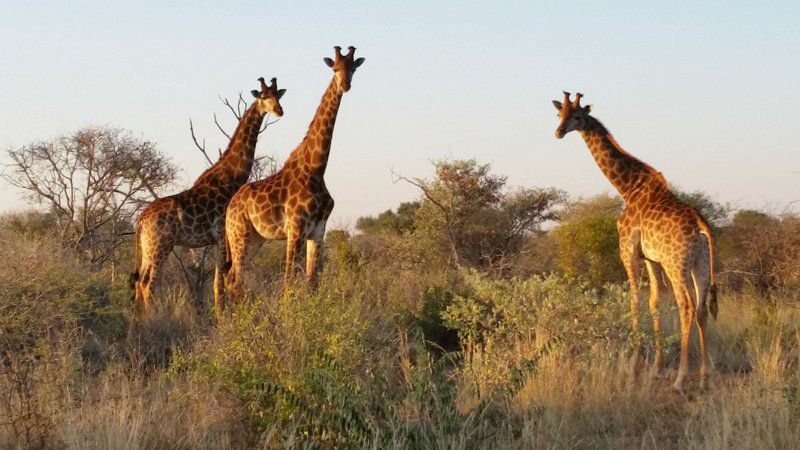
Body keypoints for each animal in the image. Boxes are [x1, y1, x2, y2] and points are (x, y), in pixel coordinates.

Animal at [134, 76, 288, 316]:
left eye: (277, 96)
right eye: (263, 97)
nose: (279, 111)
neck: (233, 175)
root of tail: (140, 220)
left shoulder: (218, 240)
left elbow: (218, 283)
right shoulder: (221, 236)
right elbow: (220, 283)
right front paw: (223, 318)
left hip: (148, 247)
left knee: (139, 282)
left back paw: (137, 323)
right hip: (160, 245)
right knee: (148, 283)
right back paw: (152, 321)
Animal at [222, 45, 366, 306]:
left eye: (353, 68)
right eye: (334, 68)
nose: (345, 85)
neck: (316, 168)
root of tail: (230, 208)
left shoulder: (317, 231)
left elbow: (312, 282)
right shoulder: (295, 229)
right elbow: (289, 282)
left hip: (255, 239)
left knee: (234, 278)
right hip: (239, 235)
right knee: (234, 279)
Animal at [552, 91, 716, 390]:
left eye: (577, 116)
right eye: (559, 114)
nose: (558, 132)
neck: (628, 187)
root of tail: (701, 226)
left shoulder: (626, 249)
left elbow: (634, 301)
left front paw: (633, 368)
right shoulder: (650, 258)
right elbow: (654, 302)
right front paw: (656, 368)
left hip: (677, 264)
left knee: (686, 306)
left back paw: (681, 378)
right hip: (701, 262)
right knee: (701, 309)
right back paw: (703, 376)